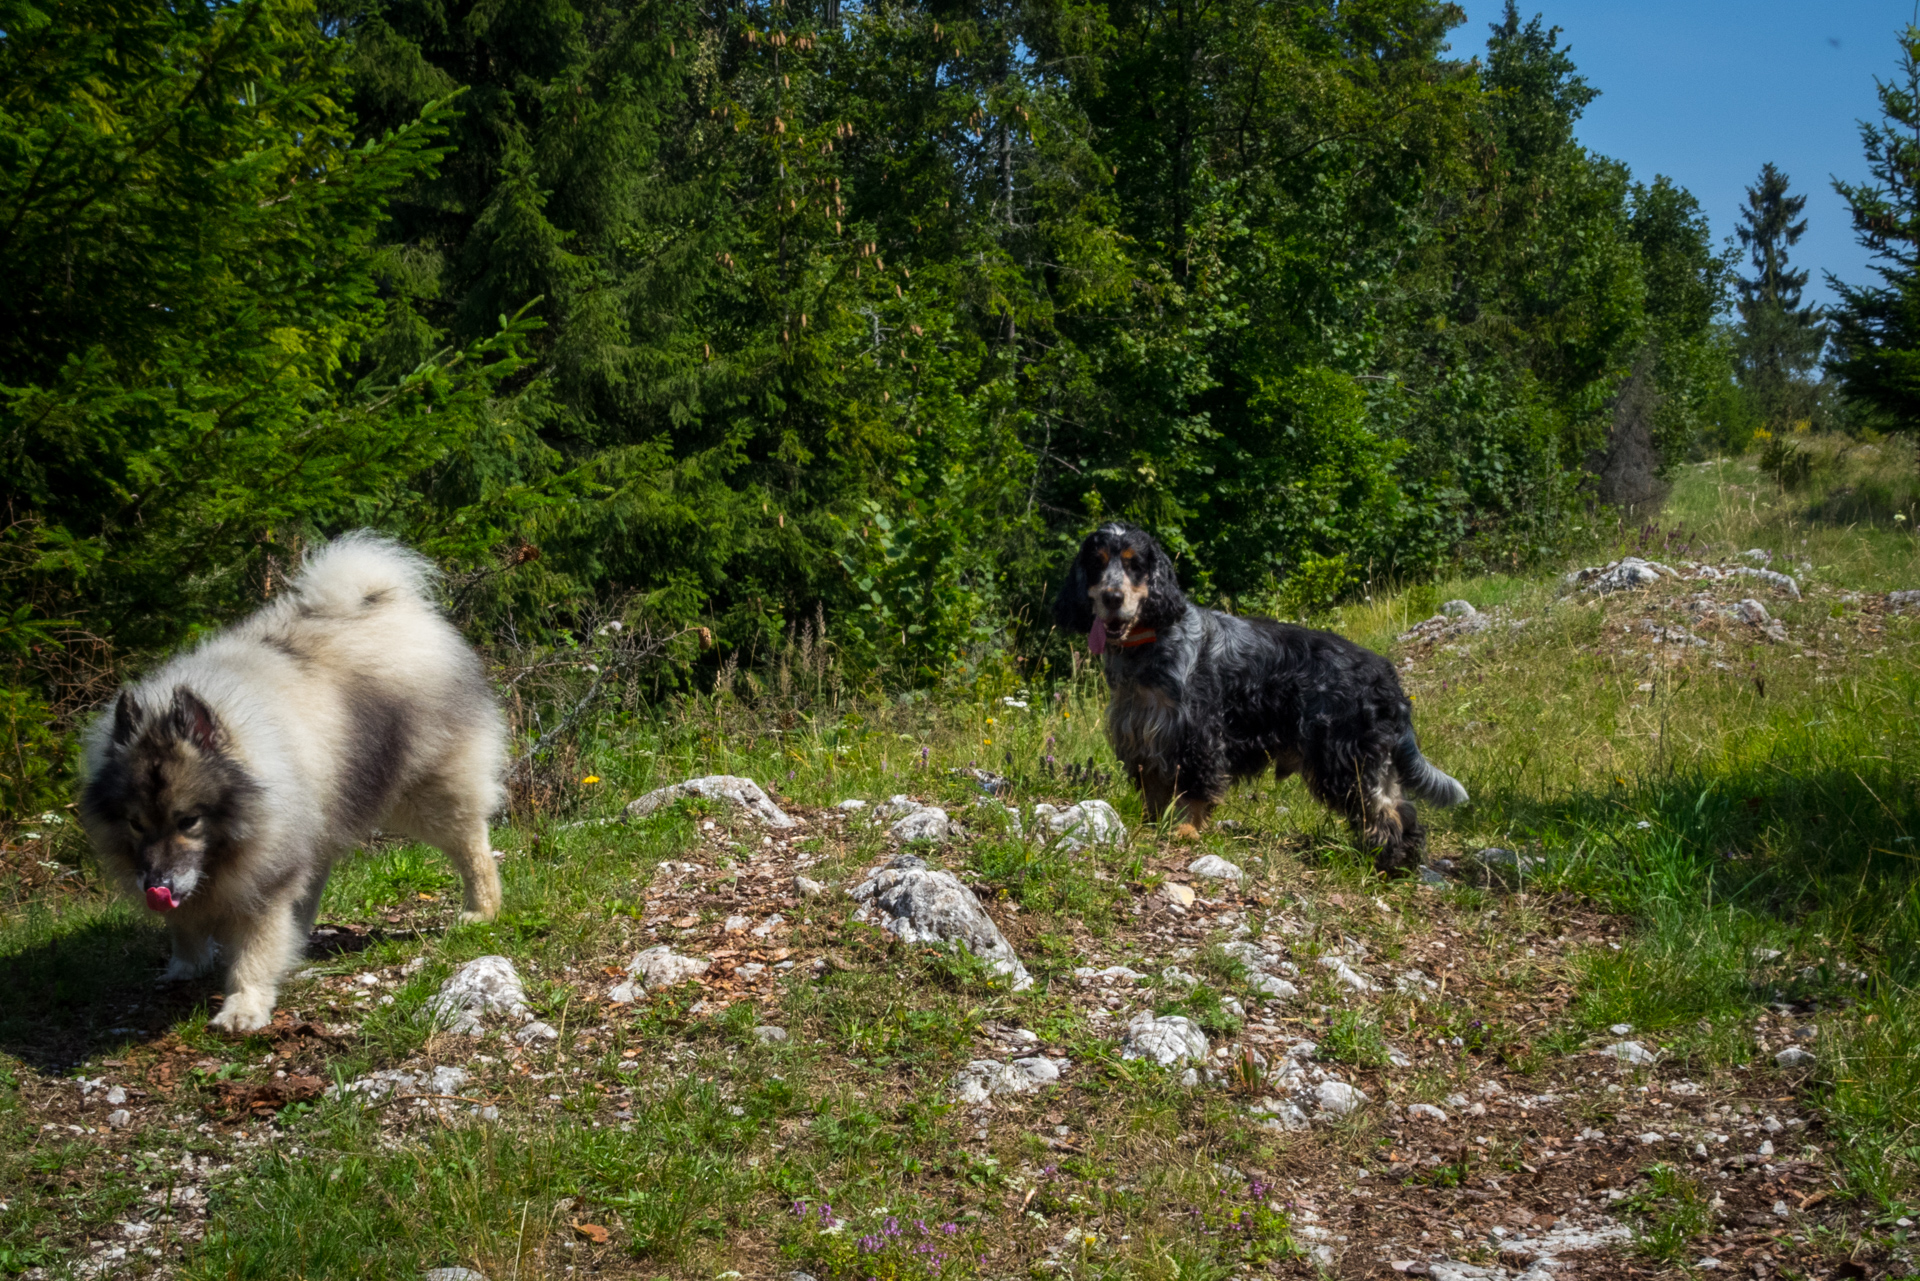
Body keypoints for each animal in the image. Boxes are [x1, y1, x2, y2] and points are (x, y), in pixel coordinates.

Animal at [78, 530, 506, 1029]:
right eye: (136, 824)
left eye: (189, 821)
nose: (155, 885)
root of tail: (388, 604)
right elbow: (185, 925)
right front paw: (186, 966)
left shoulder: (264, 877)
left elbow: (253, 950)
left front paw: (243, 1006)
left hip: (425, 794)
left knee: (472, 845)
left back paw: (481, 910)